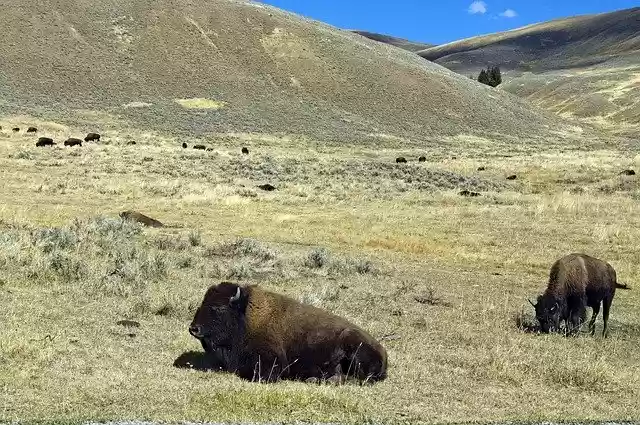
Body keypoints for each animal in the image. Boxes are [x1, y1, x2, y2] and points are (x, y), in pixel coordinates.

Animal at [189, 282, 388, 384]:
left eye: (219, 308)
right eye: (202, 303)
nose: (193, 329)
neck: (246, 315)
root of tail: (384, 353)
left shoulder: (272, 361)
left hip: (353, 348)